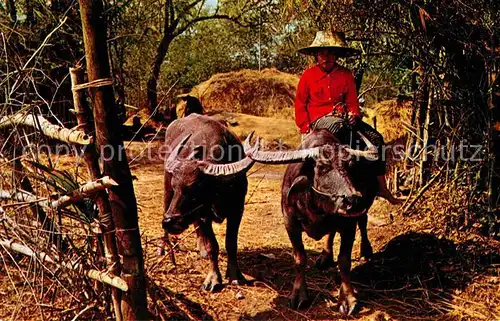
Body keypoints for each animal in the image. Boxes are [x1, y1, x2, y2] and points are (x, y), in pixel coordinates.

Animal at [159, 114, 258, 292]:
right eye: (176, 186)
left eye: (196, 187)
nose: (170, 221)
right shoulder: (203, 214)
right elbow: (213, 246)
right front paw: (213, 279)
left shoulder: (237, 209)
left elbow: (231, 243)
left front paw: (235, 275)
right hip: (166, 188)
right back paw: (163, 248)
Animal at [246, 129, 378, 314]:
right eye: (322, 167)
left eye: (350, 165)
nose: (354, 200)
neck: (318, 208)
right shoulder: (290, 224)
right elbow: (300, 258)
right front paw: (298, 294)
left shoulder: (348, 226)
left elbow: (344, 261)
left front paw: (348, 299)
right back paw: (326, 256)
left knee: (363, 222)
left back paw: (366, 251)